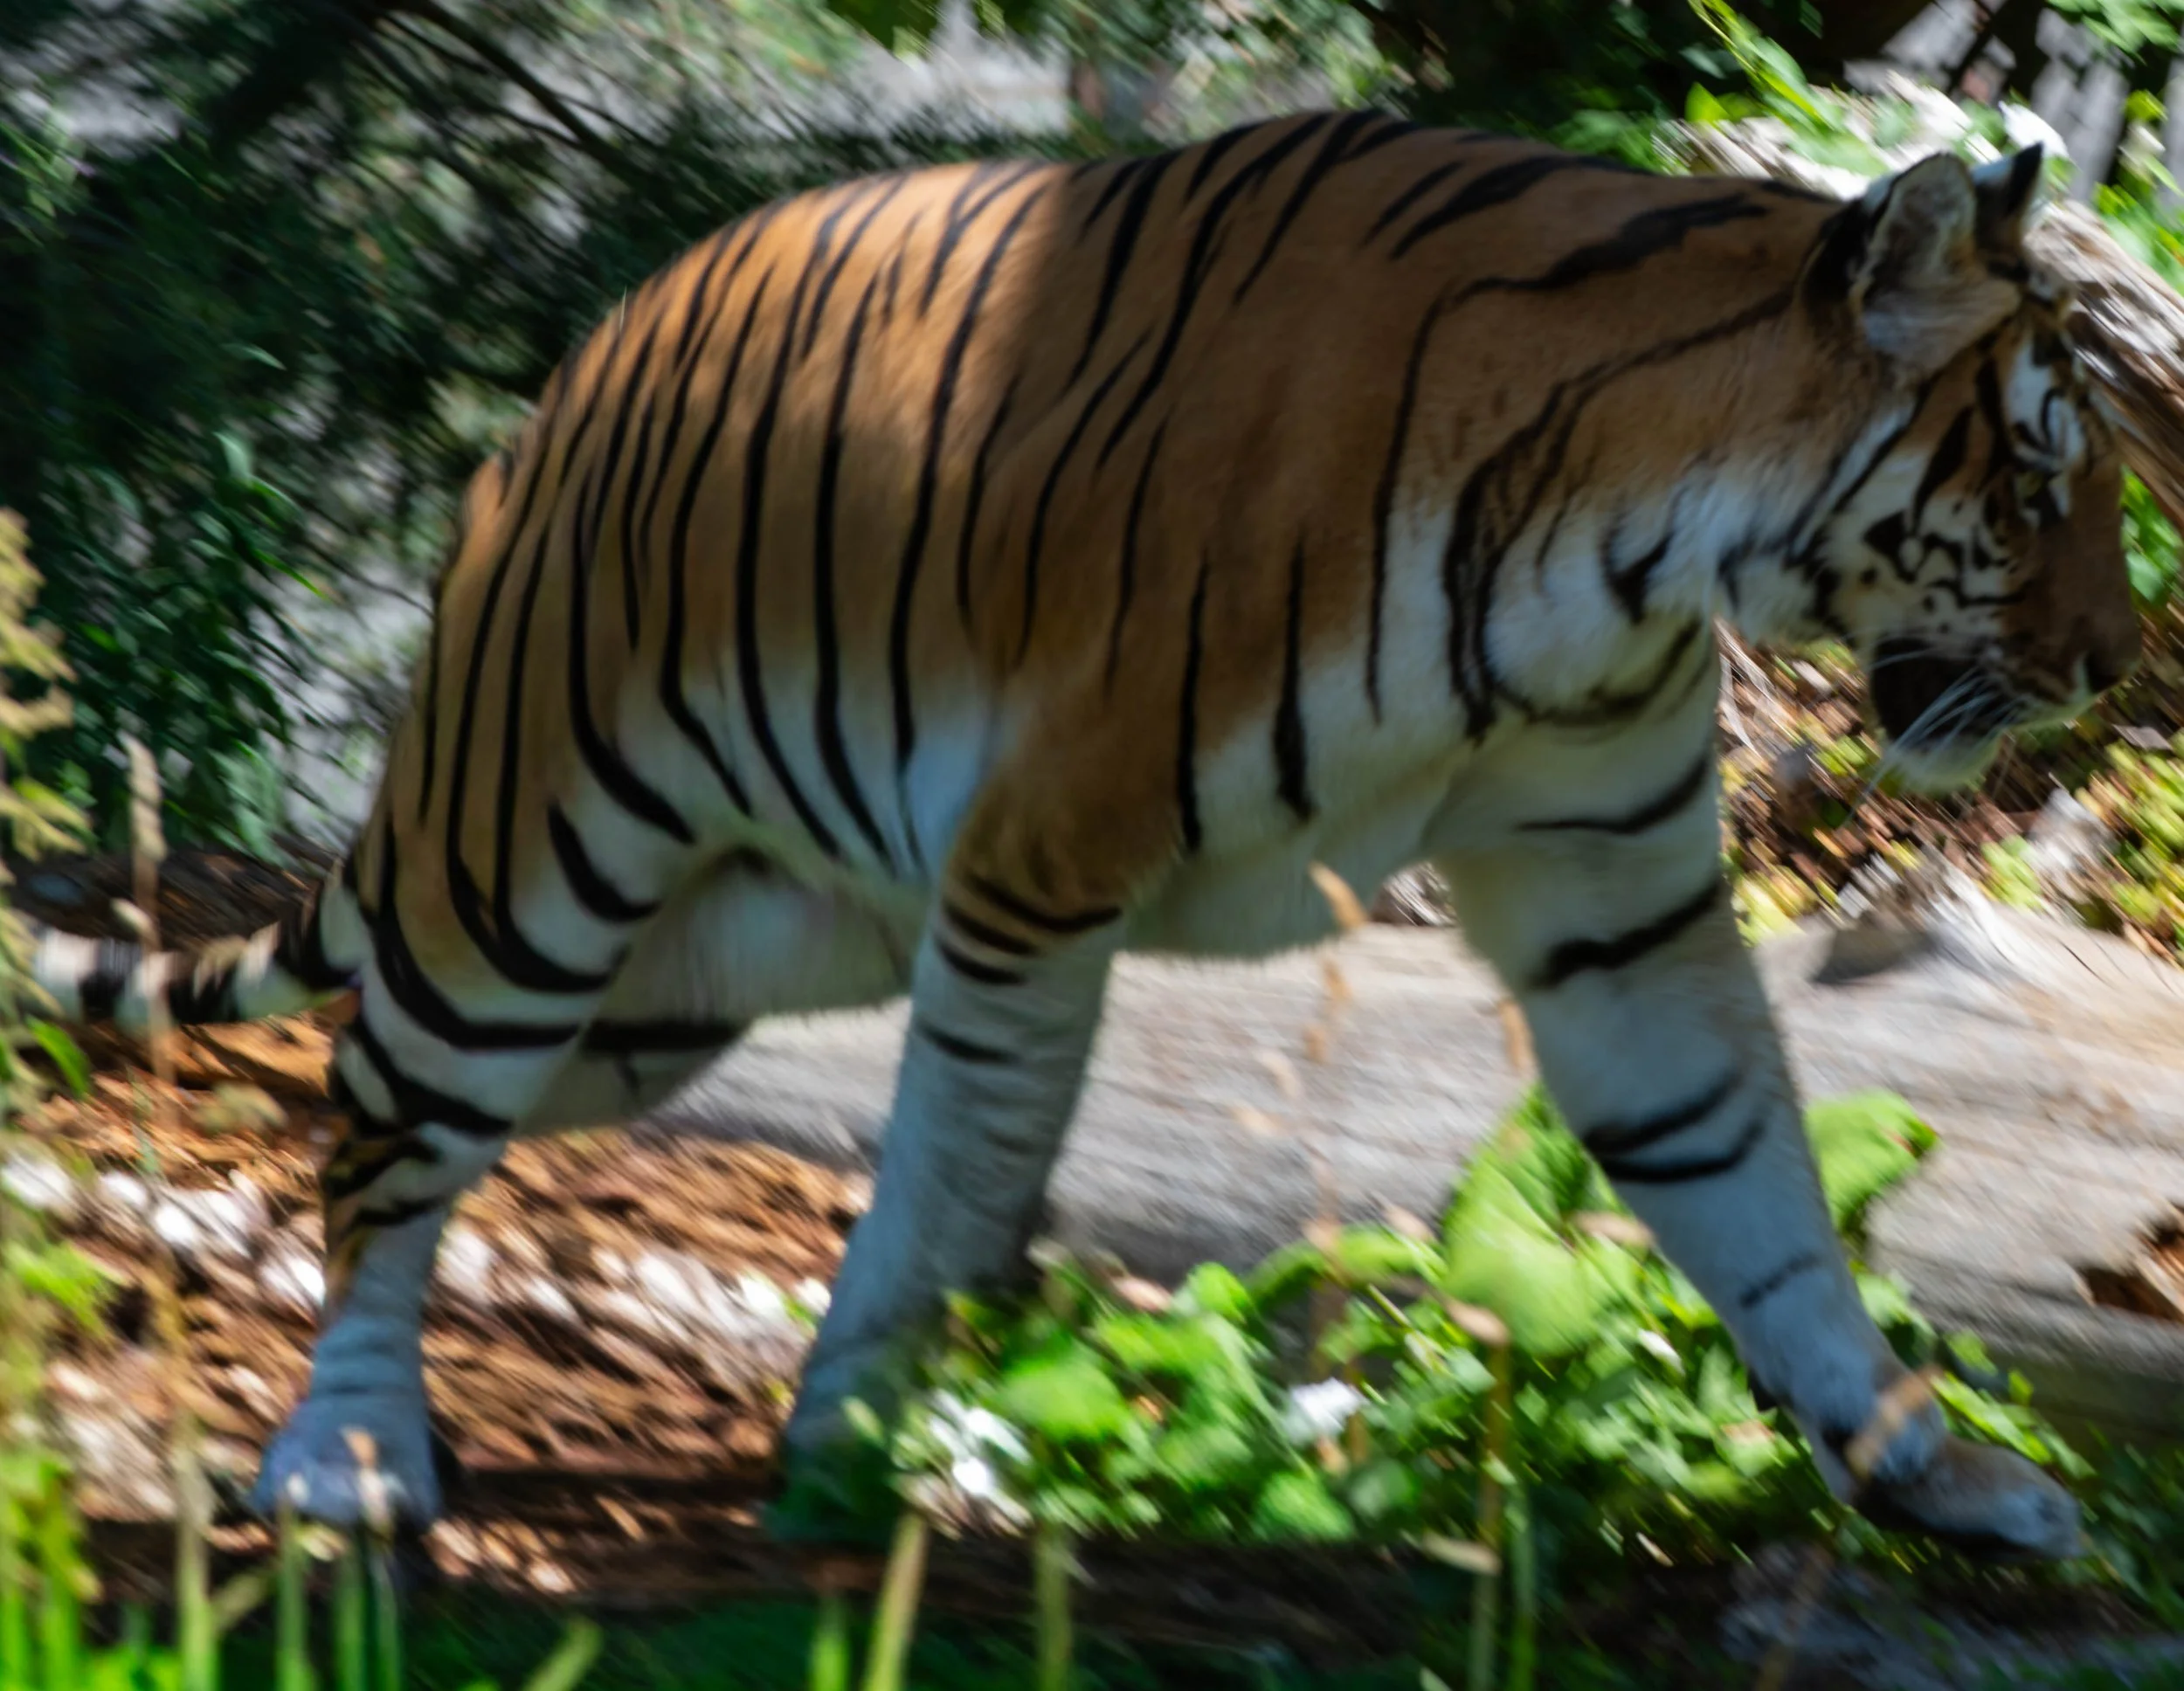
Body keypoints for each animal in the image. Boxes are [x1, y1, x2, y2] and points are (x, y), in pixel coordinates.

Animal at [30, 111, 2135, 1559]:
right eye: (2039, 482)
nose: (2119, 667)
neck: (1627, 553)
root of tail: (561, 387)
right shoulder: (1034, 874)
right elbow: (960, 1189)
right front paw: (855, 1455)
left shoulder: (1617, 904)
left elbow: (1748, 1177)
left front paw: (1929, 1467)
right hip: (525, 877)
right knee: (379, 1115)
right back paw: (344, 1452)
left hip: (670, 996)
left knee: (416, 1094)